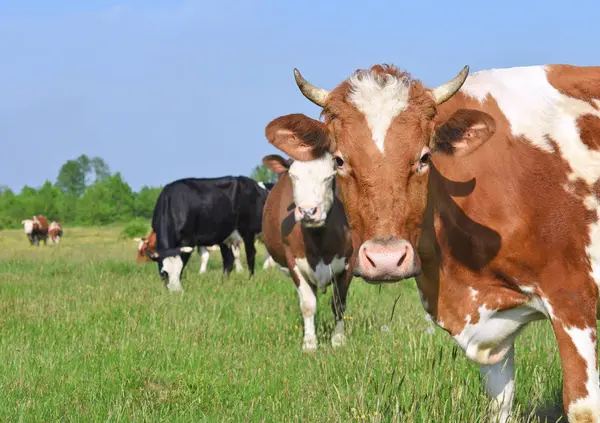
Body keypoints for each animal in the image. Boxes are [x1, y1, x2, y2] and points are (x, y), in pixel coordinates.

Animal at [262, 152, 354, 352]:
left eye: (329, 177)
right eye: (293, 176)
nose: (308, 211)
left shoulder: (349, 263)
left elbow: (338, 303)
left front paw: (338, 339)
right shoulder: (294, 263)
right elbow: (308, 305)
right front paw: (310, 342)